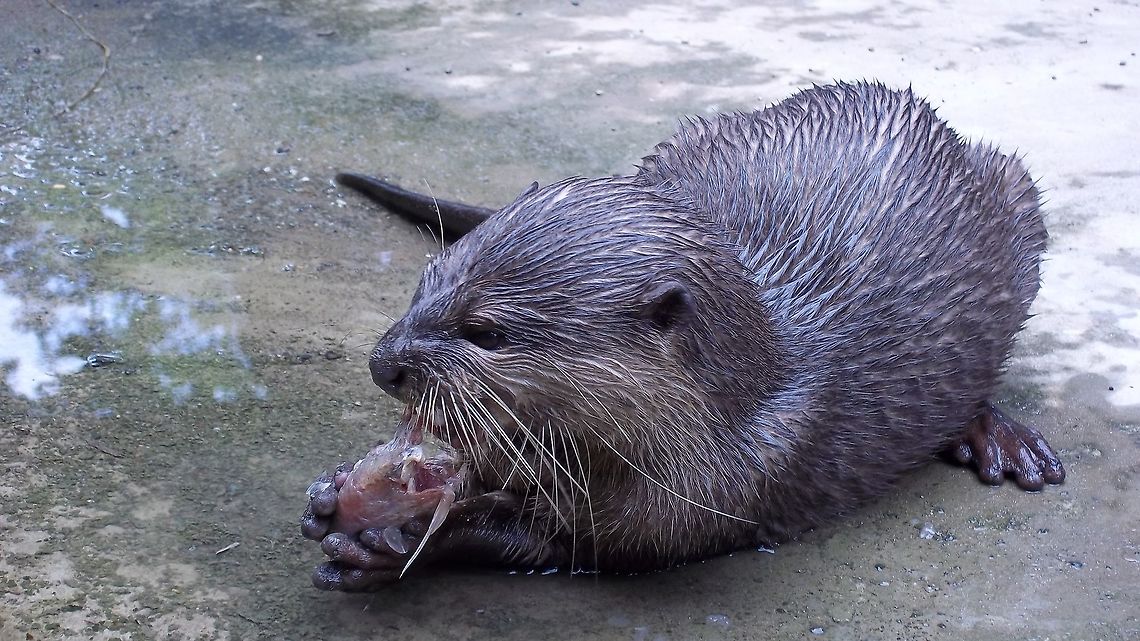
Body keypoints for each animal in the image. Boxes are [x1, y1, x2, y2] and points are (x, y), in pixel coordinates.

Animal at [301, 81, 1066, 591]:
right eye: (423, 283)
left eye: (485, 332)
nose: (383, 363)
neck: (735, 412)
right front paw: (340, 493)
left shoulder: (717, 492)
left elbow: (573, 548)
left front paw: (400, 546)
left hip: (1018, 190)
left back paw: (1001, 438)